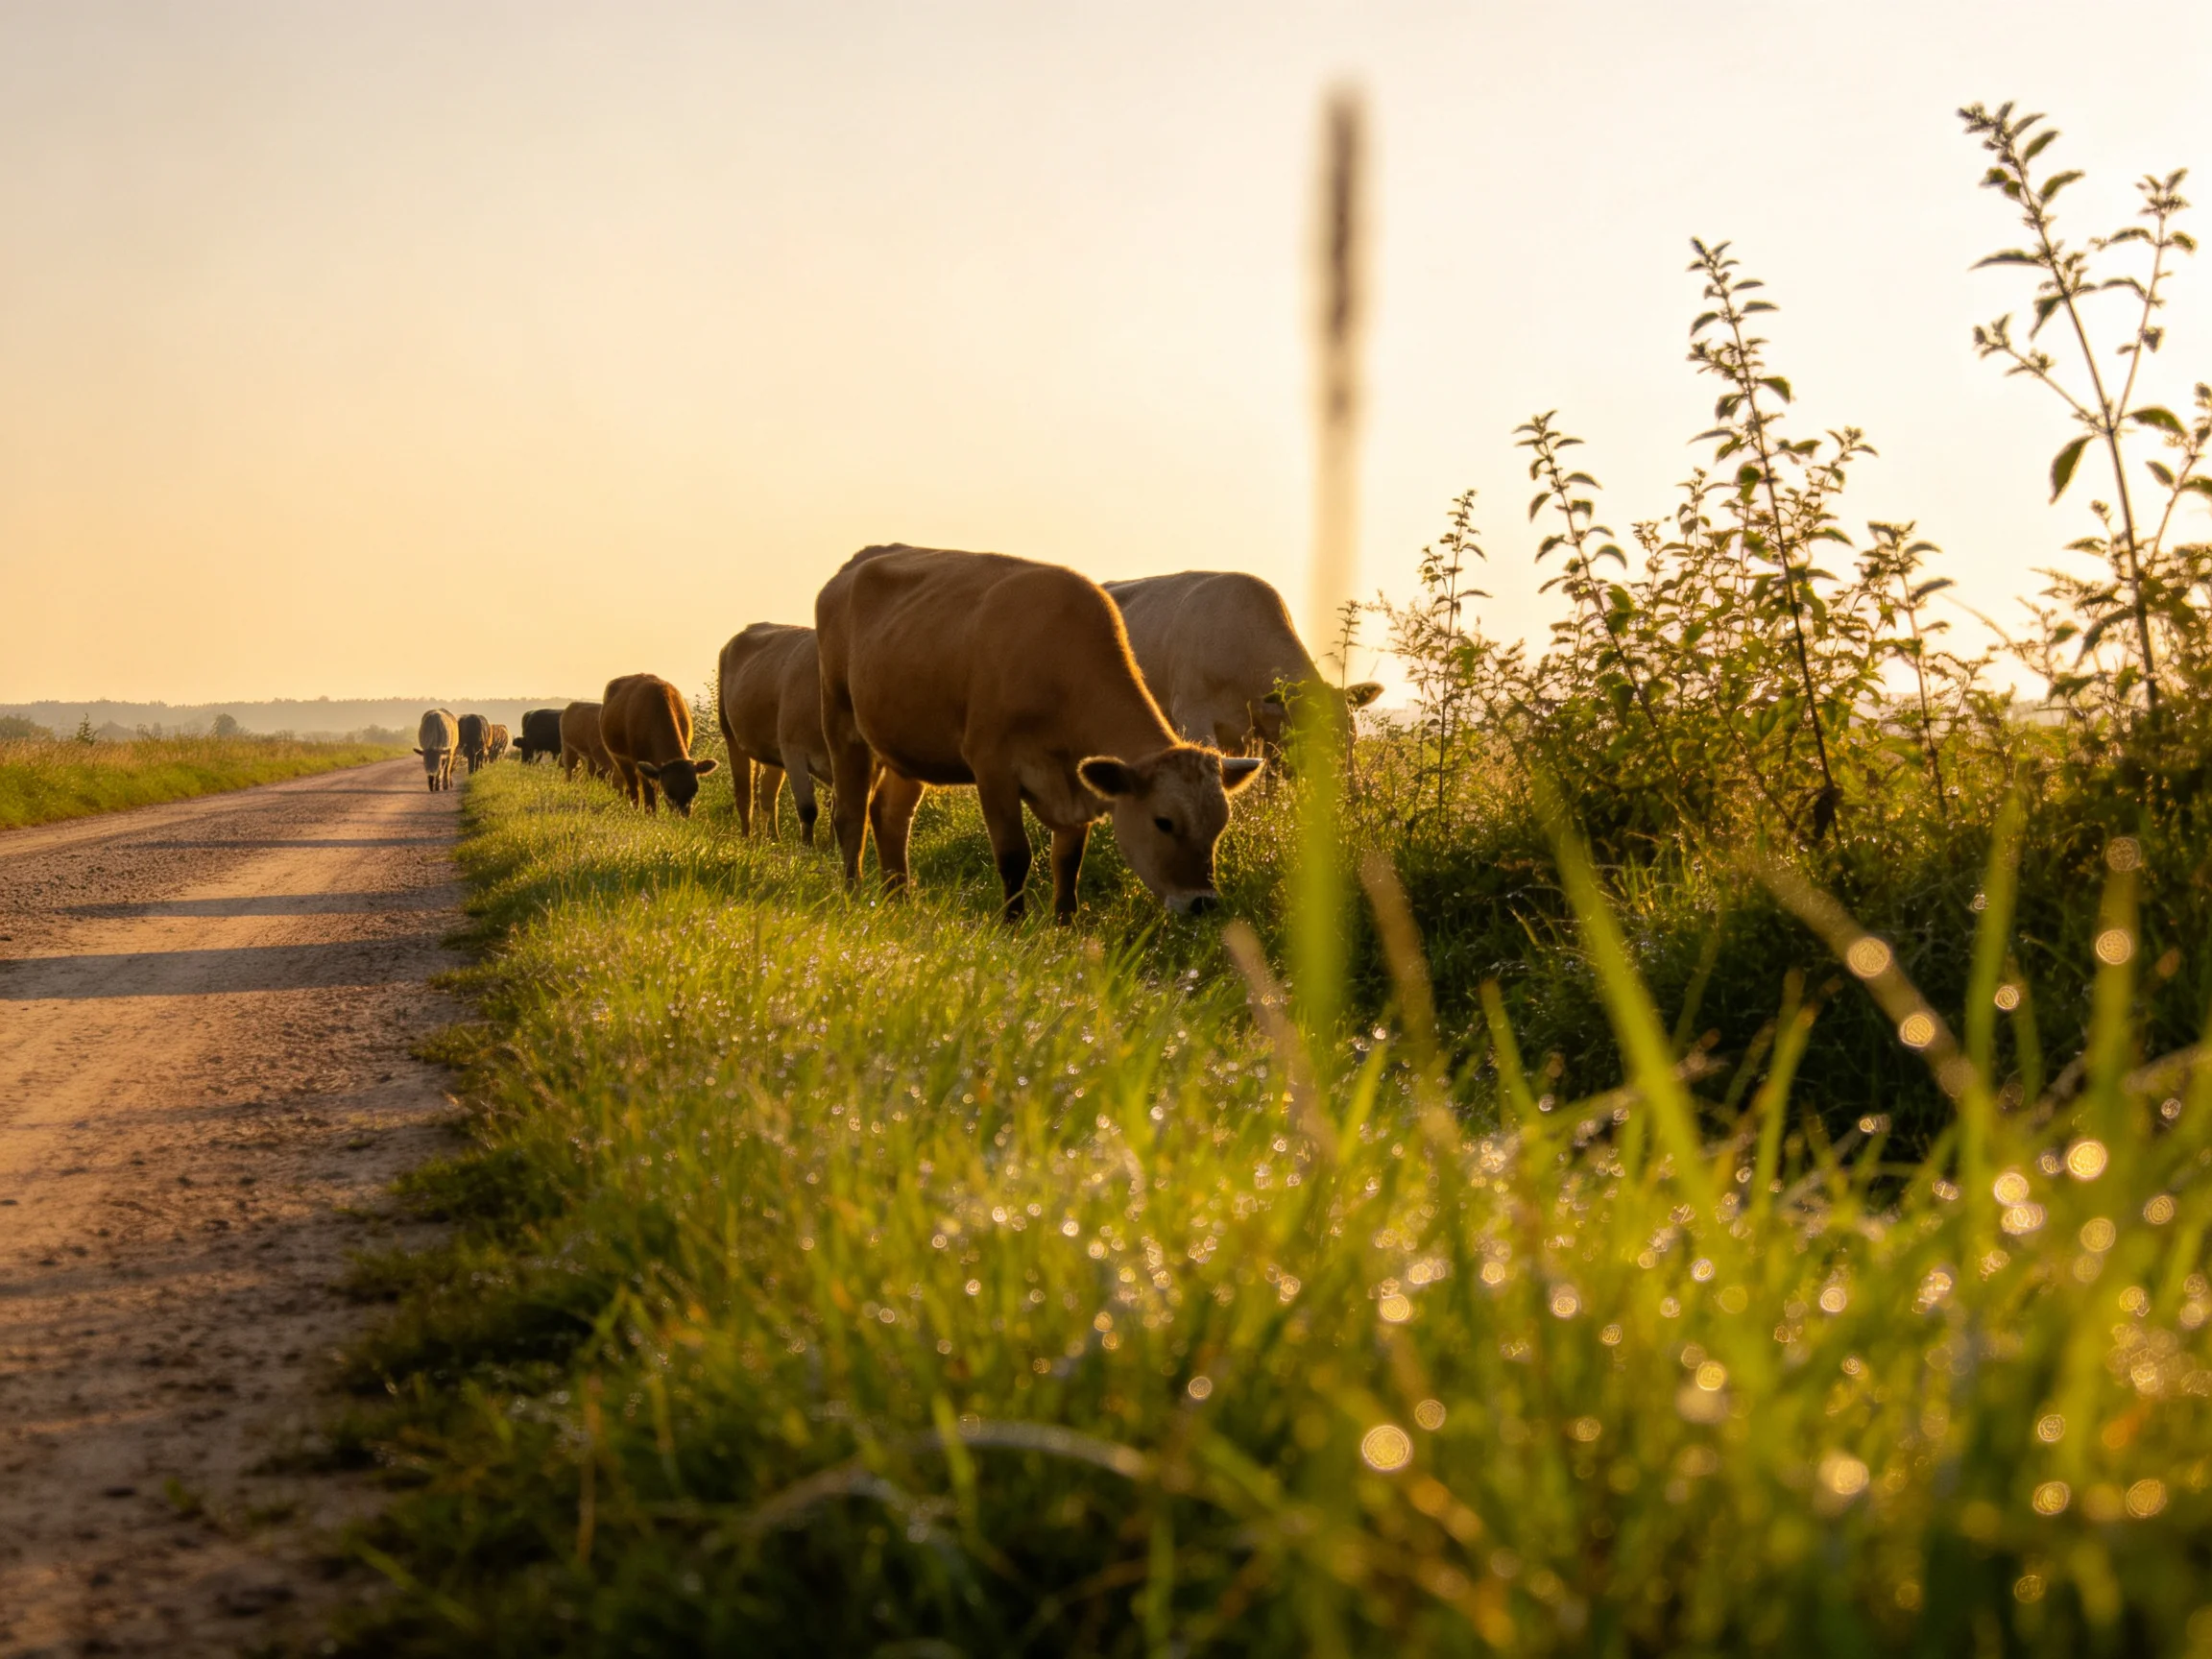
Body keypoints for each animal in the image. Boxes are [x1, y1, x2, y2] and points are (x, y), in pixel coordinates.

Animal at [601, 673, 719, 816]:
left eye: (694, 791)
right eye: (668, 792)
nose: (682, 816)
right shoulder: (642, 763)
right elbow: (649, 794)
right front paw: (650, 815)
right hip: (620, 759)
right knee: (633, 785)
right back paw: (635, 809)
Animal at [717, 623, 834, 843]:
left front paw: (833, 847)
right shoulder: (793, 751)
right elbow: (808, 809)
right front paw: (807, 847)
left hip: (772, 752)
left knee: (767, 794)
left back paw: (773, 839)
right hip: (731, 736)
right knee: (745, 794)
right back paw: (747, 837)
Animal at [815, 544, 1263, 922]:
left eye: (1220, 824)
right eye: (1163, 822)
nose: (1202, 902)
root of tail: (856, 563)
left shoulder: (1076, 785)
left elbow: (1068, 863)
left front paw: (1065, 926)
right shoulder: (992, 765)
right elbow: (1015, 855)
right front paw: (1013, 926)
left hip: (907, 744)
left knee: (890, 815)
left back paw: (898, 900)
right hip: (840, 721)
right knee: (850, 814)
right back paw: (854, 895)